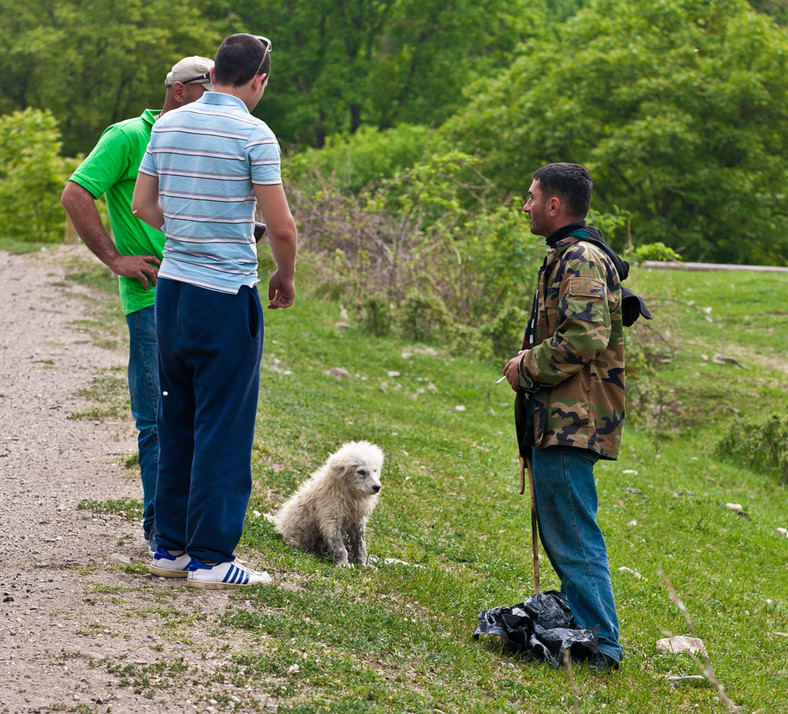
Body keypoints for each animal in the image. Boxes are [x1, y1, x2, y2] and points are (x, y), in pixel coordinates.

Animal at [274, 436, 384, 564]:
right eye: (361, 471)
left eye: (375, 470)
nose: (377, 487)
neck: (348, 494)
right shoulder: (331, 519)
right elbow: (339, 546)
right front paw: (344, 564)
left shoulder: (357, 520)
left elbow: (360, 545)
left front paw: (362, 564)